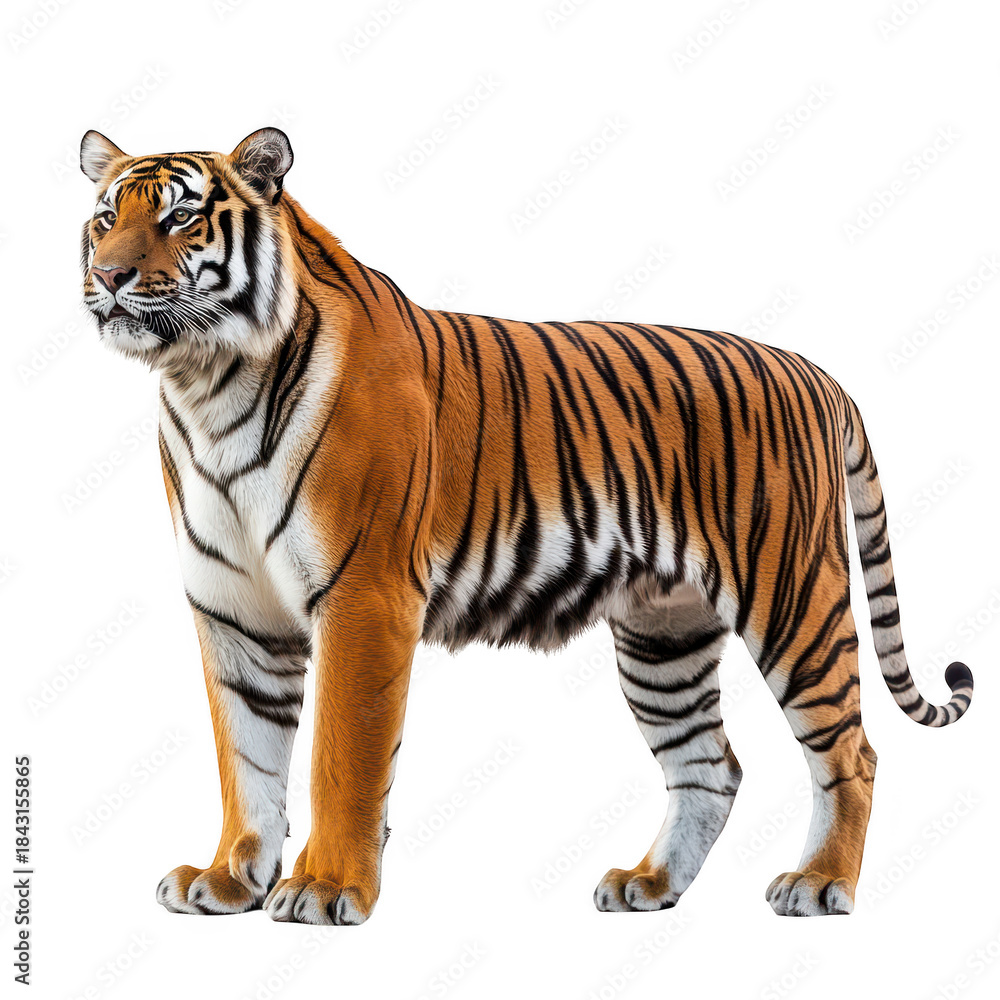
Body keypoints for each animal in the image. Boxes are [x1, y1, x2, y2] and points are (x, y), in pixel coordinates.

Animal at [80, 127, 973, 924]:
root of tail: (817, 374)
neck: (209, 384)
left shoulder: (363, 596)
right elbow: (247, 760)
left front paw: (326, 889)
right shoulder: (235, 611)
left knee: (850, 752)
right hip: (665, 637)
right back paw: (649, 884)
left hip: (792, 598)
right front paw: (229, 879)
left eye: (180, 217)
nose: (108, 274)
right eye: (105, 217)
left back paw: (820, 885)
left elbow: (342, 756)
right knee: (711, 767)